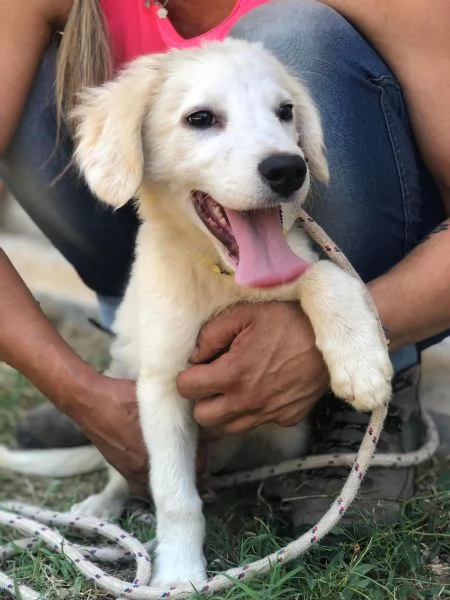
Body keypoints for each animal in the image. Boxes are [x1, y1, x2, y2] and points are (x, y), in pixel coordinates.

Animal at [0, 38, 394, 584]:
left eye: (285, 112)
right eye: (201, 118)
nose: (288, 169)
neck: (219, 276)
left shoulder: (296, 266)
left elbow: (325, 274)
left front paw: (362, 364)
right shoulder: (162, 388)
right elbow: (175, 496)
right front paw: (179, 575)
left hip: (284, 440)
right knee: (122, 477)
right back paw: (101, 508)